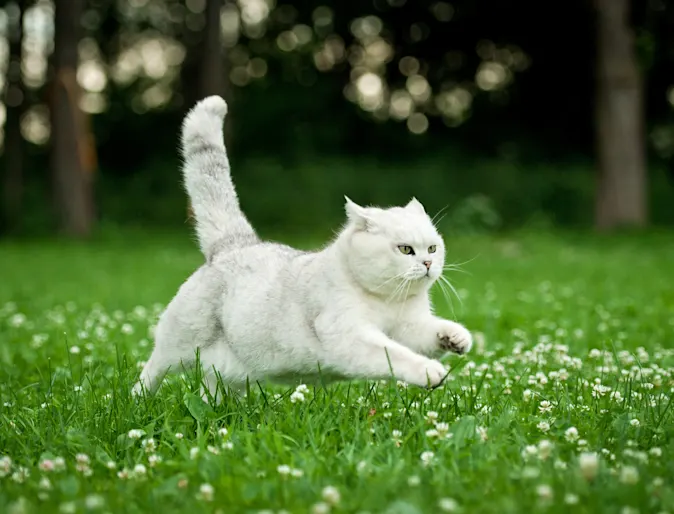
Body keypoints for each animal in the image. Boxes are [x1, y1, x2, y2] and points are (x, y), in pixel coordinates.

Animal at [133, 97, 472, 400]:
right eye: (405, 250)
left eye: (432, 248)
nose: (428, 264)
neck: (387, 301)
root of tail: (234, 243)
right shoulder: (350, 336)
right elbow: (395, 355)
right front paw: (430, 372)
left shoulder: (410, 327)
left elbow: (430, 334)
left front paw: (455, 337)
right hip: (177, 345)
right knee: (151, 370)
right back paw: (139, 402)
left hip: (230, 373)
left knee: (211, 391)